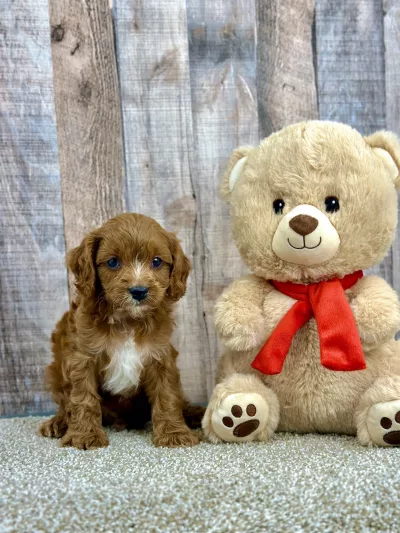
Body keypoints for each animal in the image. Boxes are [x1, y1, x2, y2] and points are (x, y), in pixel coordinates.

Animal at [39, 213, 204, 449]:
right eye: (113, 262)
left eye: (156, 261)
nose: (139, 291)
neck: (128, 319)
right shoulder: (82, 357)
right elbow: (82, 398)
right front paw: (85, 435)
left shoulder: (160, 355)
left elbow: (168, 395)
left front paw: (174, 433)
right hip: (56, 371)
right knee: (64, 403)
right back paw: (58, 422)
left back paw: (194, 413)